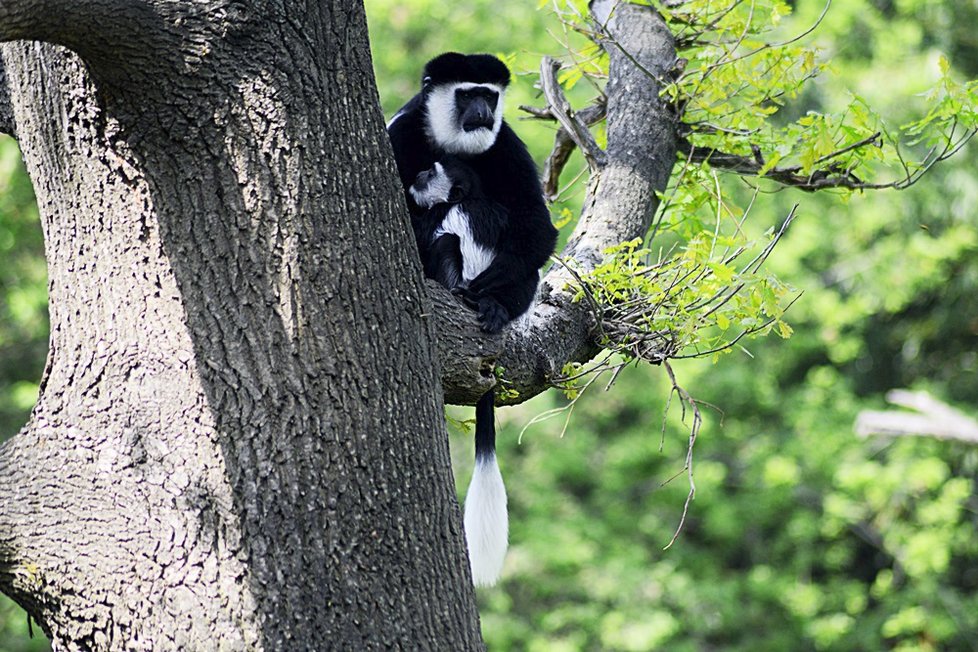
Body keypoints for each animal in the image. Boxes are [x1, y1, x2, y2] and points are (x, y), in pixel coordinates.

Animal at [388, 53, 556, 588]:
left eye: (489, 94)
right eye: (466, 94)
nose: (483, 112)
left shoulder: (506, 145)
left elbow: (537, 226)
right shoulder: (402, 133)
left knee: (519, 260)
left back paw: (493, 302)